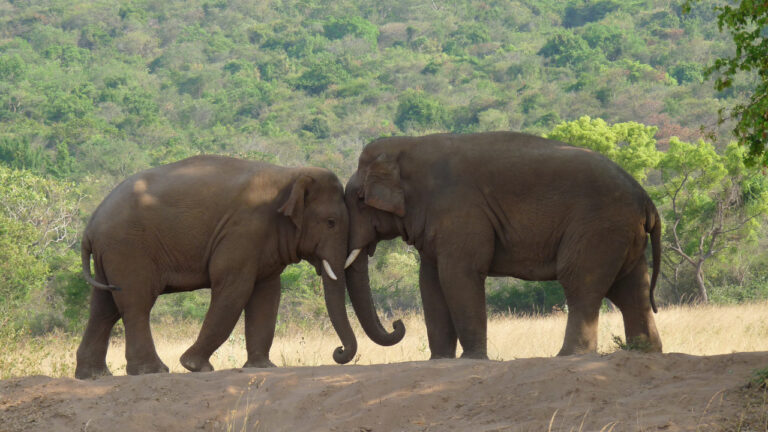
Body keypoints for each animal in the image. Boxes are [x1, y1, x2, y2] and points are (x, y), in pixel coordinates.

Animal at [75, 155, 403, 379]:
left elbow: (267, 295)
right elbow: (235, 288)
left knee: (104, 307)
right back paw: (153, 371)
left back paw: (94, 375)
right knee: (136, 304)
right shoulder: (244, 230)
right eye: (332, 222)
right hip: (128, 249)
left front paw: (263, 366)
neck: (289, 174)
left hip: (112, 254)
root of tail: (90, 227)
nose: (338, 352)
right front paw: (195, 366)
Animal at [343, 131, 662, 360]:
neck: (410, 145)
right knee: (631, 291)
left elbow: (459, 275)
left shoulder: (460, 209)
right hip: (623, 234)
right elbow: (430, 282)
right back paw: (645, 352)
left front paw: (472, 360)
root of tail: (646, 199)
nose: (397, 324)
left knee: (580, 283)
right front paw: (440, 360)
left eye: (359, 199)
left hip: (599, 228)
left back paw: (569, 356)